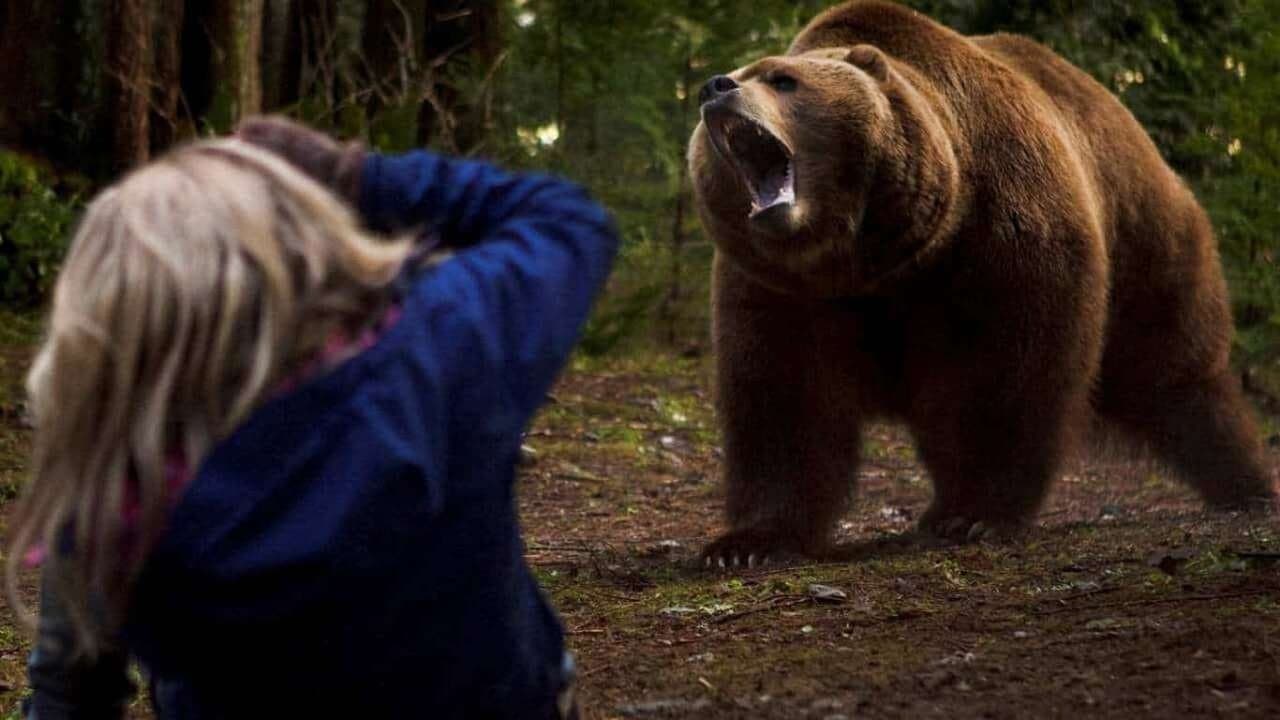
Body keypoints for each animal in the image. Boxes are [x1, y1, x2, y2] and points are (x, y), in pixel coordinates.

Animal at [687, 0, 1276, 566]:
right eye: (743, 71)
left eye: (783, 79)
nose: (715, 87)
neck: (870, 257)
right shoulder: (781, 289)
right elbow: (783, 400)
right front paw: (746, 543)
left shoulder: (997, 237)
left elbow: (1003, 375)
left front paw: (973, 515)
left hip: (1146, 239)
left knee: (1176, 373)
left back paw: (1245, 485)